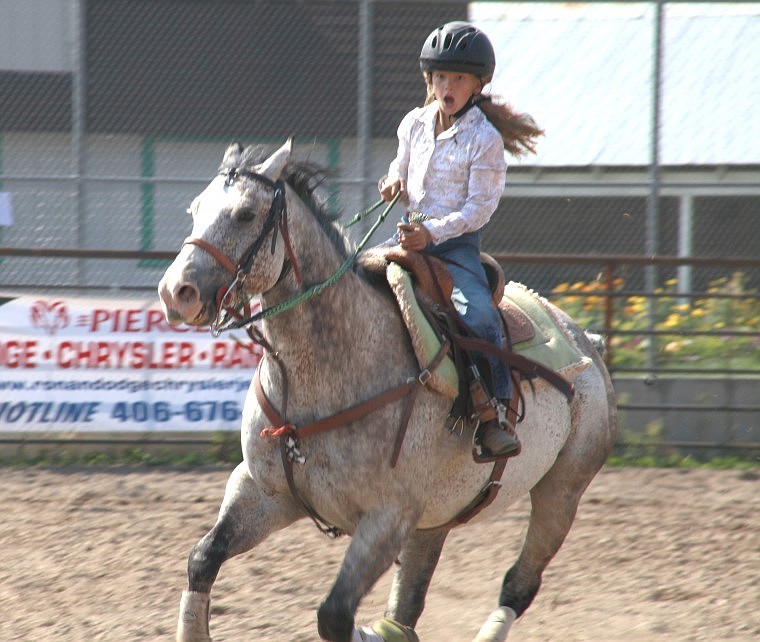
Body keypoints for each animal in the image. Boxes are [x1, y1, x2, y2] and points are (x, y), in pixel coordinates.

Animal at [159, 141, 616, 640]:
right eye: (195, 209)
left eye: (244, 214)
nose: (175, 292)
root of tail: (584, 339)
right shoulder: (263, 491)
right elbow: (203, 559)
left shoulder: (387, 519)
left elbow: (334, 615)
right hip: (436, 517)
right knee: (409, 603)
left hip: (562, 490)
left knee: (518, 584)